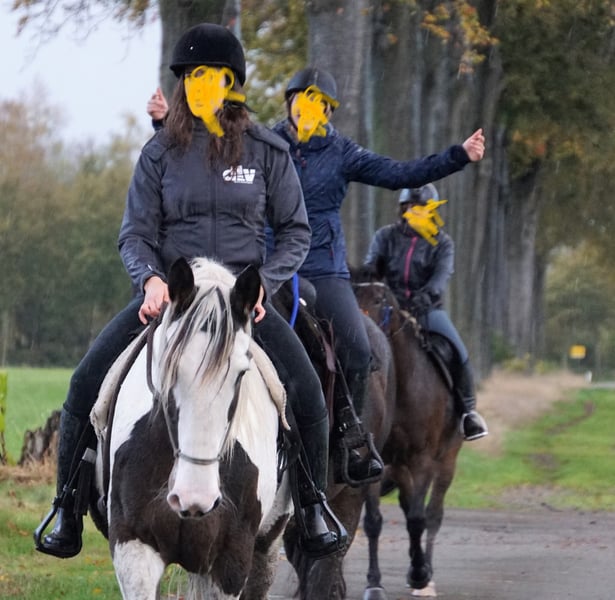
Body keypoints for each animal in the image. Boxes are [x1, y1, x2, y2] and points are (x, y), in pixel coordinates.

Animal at [87, 257, 292, 600]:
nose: (193, 496)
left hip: (267, 545)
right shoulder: (133, 547)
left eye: (241, 372)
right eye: (169, 366)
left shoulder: (230, 560)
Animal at [352, 278, 464, 599]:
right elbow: (373, 522)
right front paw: (374, 583)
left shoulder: (422, 461)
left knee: (433, 515)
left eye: (380, 301)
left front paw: (419, 575)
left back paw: (427, 573)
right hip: (399, 469)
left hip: (447, 462)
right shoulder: (376, 463)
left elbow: (418, 519)